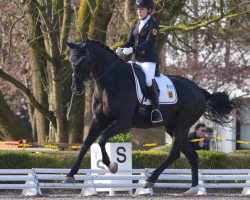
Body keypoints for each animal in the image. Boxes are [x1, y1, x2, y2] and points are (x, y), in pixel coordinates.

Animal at [63, 39, 237, 195]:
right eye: (71, 60)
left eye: (83, 60)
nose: (76, 89)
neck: (112, 81)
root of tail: (199, 90)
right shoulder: (99, 120)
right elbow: (86, 144)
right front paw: (70, 175)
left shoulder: (123, 122)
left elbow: (102, 139)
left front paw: (111, 165)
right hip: (172, 127)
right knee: (191, 155)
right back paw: (193, 189)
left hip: (182, 125)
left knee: (173, 154)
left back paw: (150, 180)